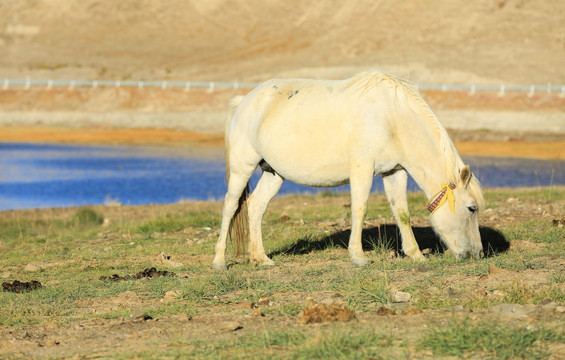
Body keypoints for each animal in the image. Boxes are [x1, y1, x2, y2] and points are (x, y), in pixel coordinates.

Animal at [209, 71, 482, 270]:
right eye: (472, 208)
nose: (478, 254)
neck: (393, 119)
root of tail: (243, 101)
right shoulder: (362, 168)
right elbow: (360, 209)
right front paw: (358, 256)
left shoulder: (395, 172)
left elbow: (402, 213)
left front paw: (415, 255)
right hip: (242, 167)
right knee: (230, 206)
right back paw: (220, 261)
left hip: (273, 173)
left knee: (255, 207)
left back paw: (261, 258)